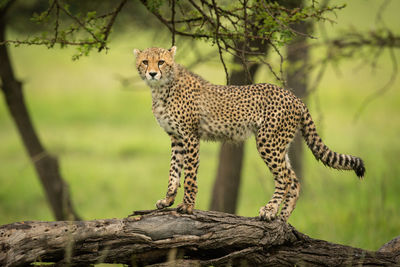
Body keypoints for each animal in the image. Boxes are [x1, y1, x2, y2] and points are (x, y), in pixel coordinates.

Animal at [133, 46, 364, 222]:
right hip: (280, 145)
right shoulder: (177, 139)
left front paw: (187, 206)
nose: (152, 73)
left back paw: (270, 210)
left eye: (161, 62)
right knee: (294, 180)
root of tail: (293, 96)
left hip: (267, 141)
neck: (162, 88)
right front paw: (167, 200)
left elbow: (189, 174)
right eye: (145, 61)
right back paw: (283, 217)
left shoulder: (190, 137)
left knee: (284, 178)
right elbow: (174, 171)